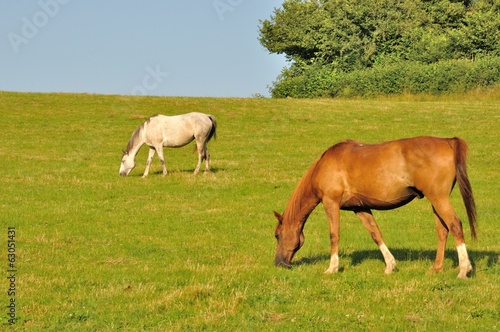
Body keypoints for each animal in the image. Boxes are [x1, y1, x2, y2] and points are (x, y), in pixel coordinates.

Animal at [276, 136, 478, 278]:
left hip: (439, 199)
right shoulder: (360, 208)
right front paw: (390, 265)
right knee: (442, 231)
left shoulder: (330, 202)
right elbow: (375, 233)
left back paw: (463, 269)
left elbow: (334, 235)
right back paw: (436, 268)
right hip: (436, 202)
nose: (278, 263)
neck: (325, 164)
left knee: (455, 225)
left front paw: (332, 268)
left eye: (277, 235)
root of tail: (448, 141)